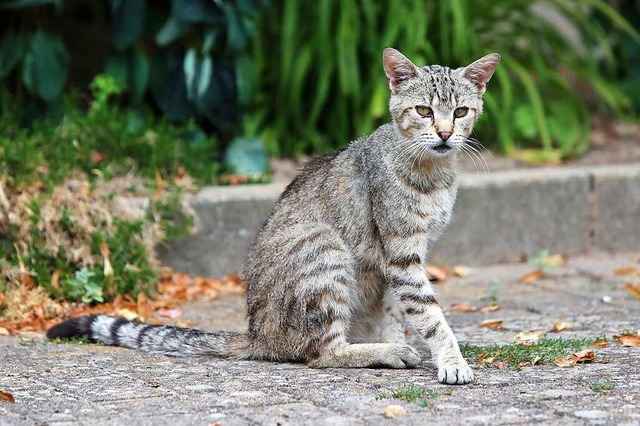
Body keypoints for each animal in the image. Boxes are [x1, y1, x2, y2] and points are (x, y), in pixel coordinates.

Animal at [48, 47, 500, 386]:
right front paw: (451, 361)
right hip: (323, 247)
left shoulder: (397, 260)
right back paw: (384, 353)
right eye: (424, 111)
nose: (444, 134)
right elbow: (430, 315)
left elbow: (397, 312)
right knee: (322, 353)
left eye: (460, 112)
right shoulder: (403, 251)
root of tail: (255, 335)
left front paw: (417, 345)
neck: (433, 173)